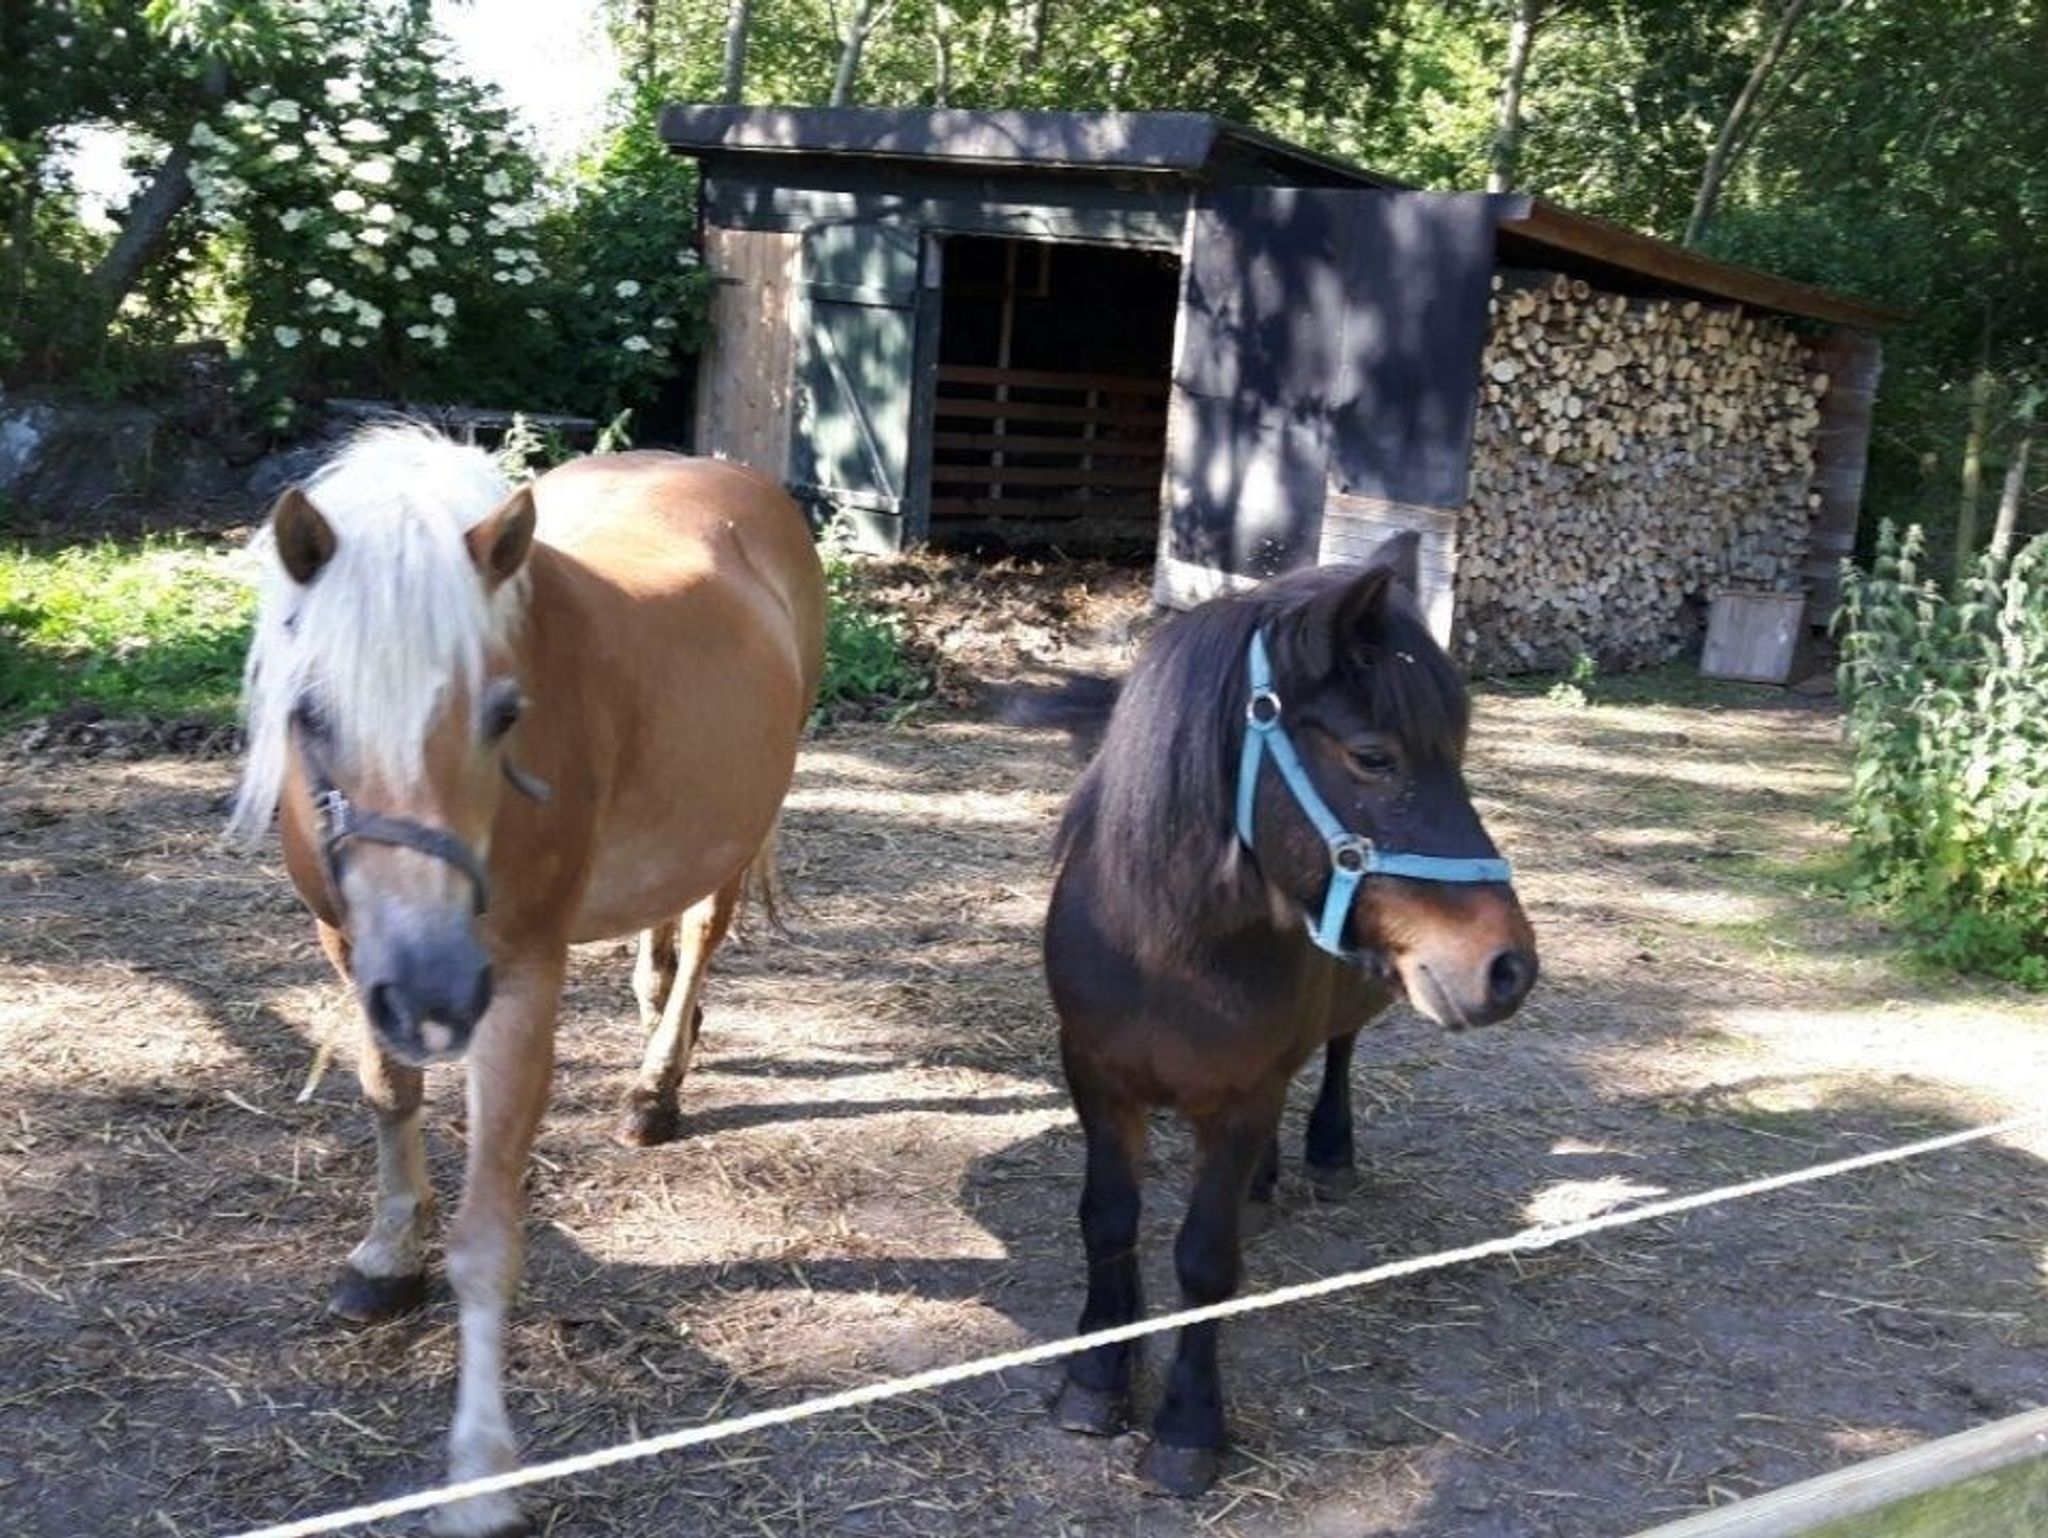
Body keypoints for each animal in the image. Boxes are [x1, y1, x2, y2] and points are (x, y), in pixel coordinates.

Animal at [232, 430, 823, 1538]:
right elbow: (387, 1095)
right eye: (309, 711)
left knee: (700, 934)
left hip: (737, 831)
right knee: (663, 937)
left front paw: (479, 1476)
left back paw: (654, 1088)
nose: (433, 987)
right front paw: (386, 1255)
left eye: (504, 712)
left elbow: (487, 1238)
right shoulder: (346, 945)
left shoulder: (518, 984)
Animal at [1040, 536, 1540, 1499]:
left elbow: (1205, 1257)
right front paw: (1096, 1377)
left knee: (1336, 1054)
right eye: (1375, 757)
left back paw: (1326, 1154)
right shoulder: (1097, 1079)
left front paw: (1189, 1428)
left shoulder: (1240, 1098)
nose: (1509, 968)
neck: (1168, 952)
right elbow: (1107, 1220)